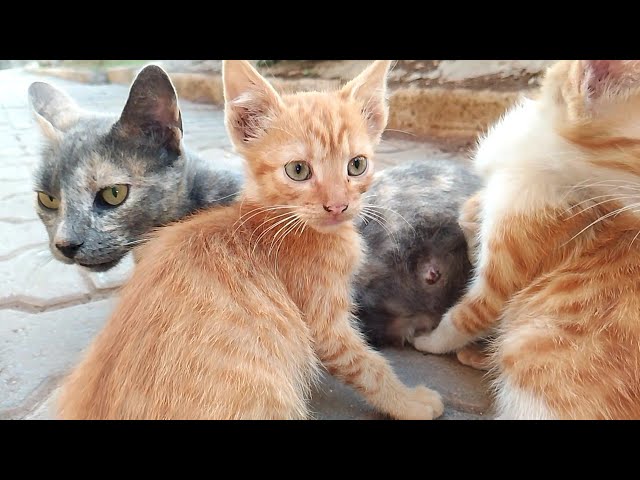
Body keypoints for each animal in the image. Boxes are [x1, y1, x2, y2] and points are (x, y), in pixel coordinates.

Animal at [57, 59, 442, 420]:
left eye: (357, 165)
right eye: (298, 170)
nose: (338, 205)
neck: (278, 218)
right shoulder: (325, 326)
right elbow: (367, 366)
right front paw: (409, 402)